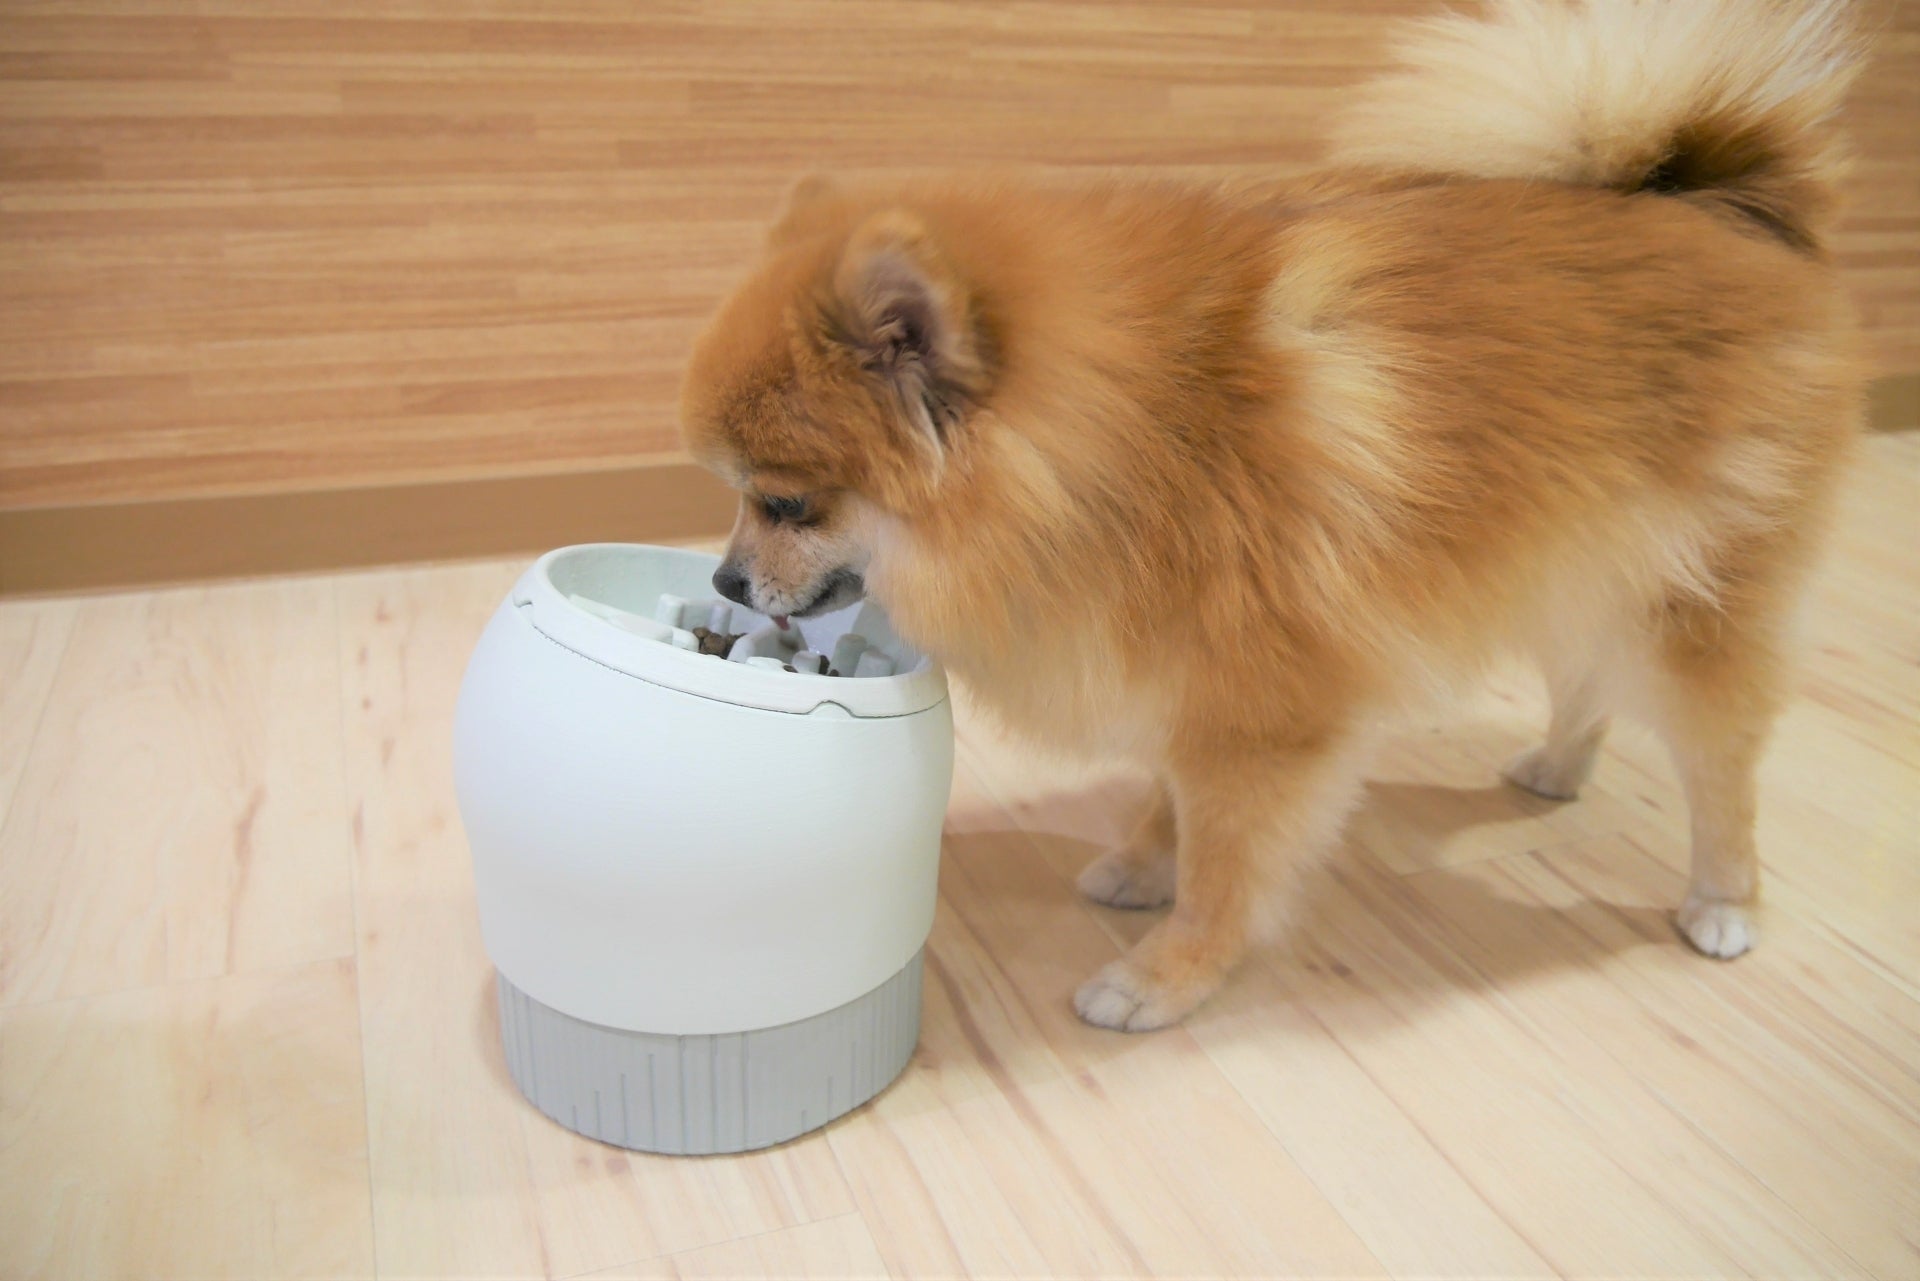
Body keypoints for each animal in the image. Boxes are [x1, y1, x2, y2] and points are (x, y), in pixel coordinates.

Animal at [679, 0, 1865, 1030]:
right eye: (731, 496)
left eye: (785, 503)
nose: (725, 580)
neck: (1136, 442)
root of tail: (1724, 206)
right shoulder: (1189, 676)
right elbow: (1172, 802)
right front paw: (1141, 863)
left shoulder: (1265, 711)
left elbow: (1226, 865)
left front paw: (1162, 976)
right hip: (1582, 556)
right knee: (1586, 673)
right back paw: (1558, 768)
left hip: (1693, 602)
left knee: (1721, 766)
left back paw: (1724, 901)